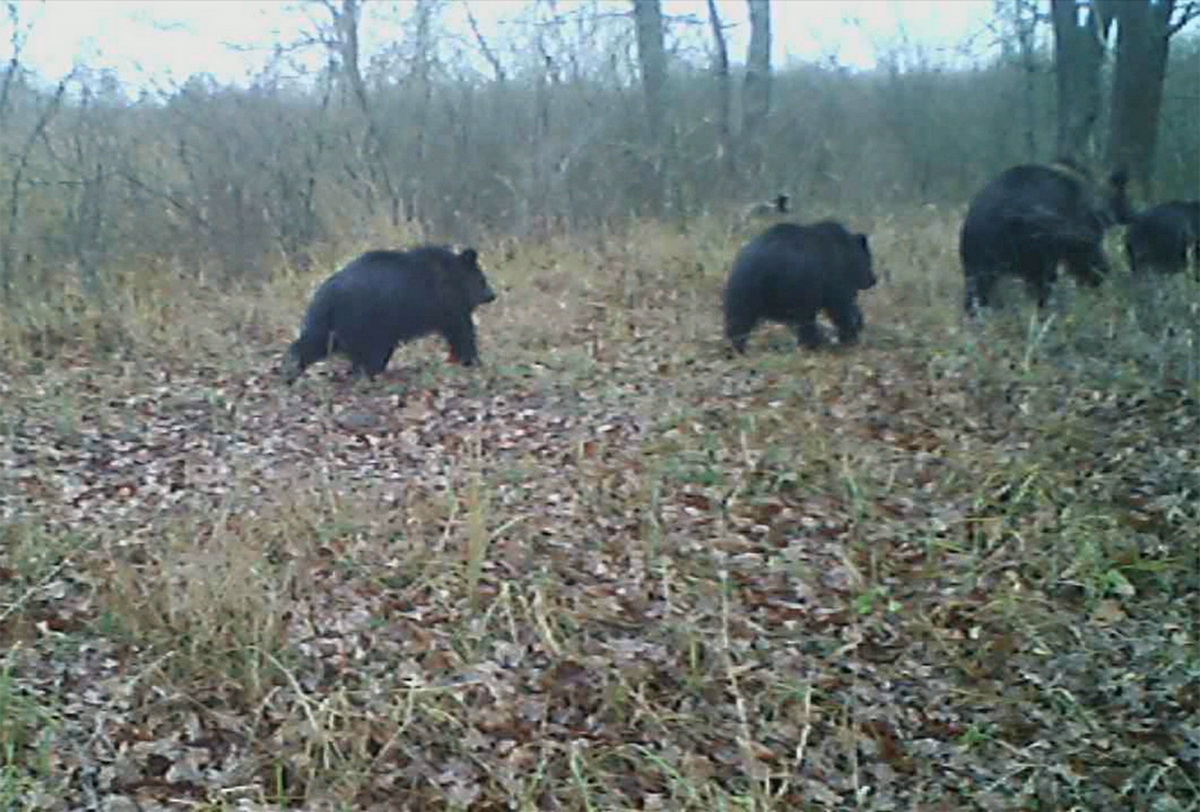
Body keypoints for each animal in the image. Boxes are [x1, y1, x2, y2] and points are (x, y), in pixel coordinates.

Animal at [280, 243, 496, 383]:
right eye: (482, 279)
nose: (492, 294)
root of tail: (327, 295)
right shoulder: (447, 305)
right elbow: (461, 331)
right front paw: (472, 360)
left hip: (330, 322)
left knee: (314, 341)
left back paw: (291, 369)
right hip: (369, 320)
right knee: (369, 351)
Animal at [715, 217, 878, 352]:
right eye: (869, 260)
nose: (873, 279)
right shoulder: (834, 276)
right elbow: (842, 306)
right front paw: (851, 334)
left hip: (742, 288)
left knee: (738, 318)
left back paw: (736, 346)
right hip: (797, 286)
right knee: (805, 319)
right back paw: (814, 343)